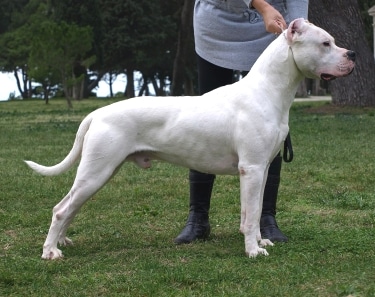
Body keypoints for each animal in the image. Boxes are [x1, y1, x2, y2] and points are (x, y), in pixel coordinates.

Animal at [25, 19, 356, 260]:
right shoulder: (251, 169)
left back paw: (62, 242)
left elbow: (254, 210)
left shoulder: (261, 170)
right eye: (325, 43)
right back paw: (50, 252)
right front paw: (252, 251)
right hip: (97, 171)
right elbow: (251, 216)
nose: (352, 55)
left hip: (99, 172)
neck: (268, 90)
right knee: (61, 209)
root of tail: (97, 112)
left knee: (70, 207)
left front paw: (261, 242)